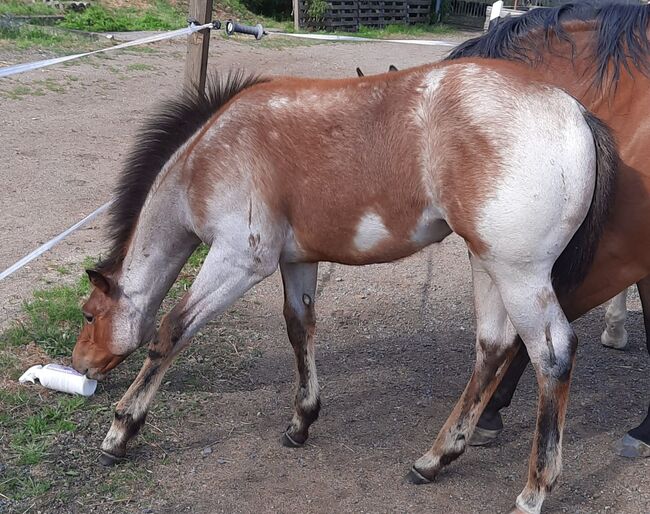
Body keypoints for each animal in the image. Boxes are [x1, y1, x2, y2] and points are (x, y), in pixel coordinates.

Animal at [68, 64, 616, 512]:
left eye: (89, 314)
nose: (80, 365)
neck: (212, 153)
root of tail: (574, 110)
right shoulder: (298, 262)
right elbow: (300, 329)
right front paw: (301, 422)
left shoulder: (239, 261)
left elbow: (171, 331)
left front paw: (120, 431)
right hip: (487, 263)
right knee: (493, 347)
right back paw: (433, 460)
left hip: (518, 274)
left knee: (552, 355)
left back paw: (534, 490)